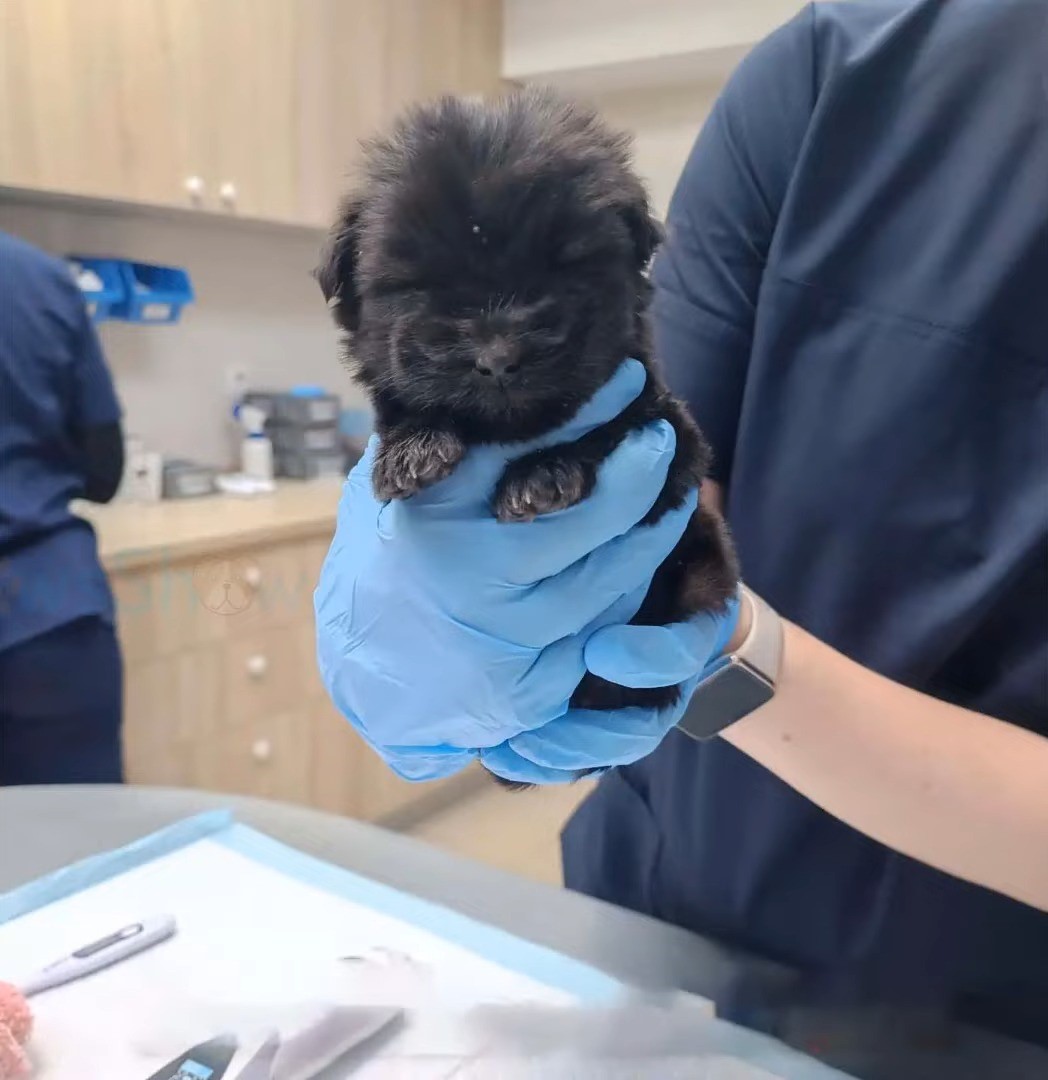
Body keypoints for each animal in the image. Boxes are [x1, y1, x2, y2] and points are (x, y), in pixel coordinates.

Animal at [317, 86, 734, 777]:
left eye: (560, 267)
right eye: (420, 282)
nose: (497, 355)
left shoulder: (676, 441)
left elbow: (616, 424)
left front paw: (544, 475)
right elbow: (399, 401)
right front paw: (413, 449)